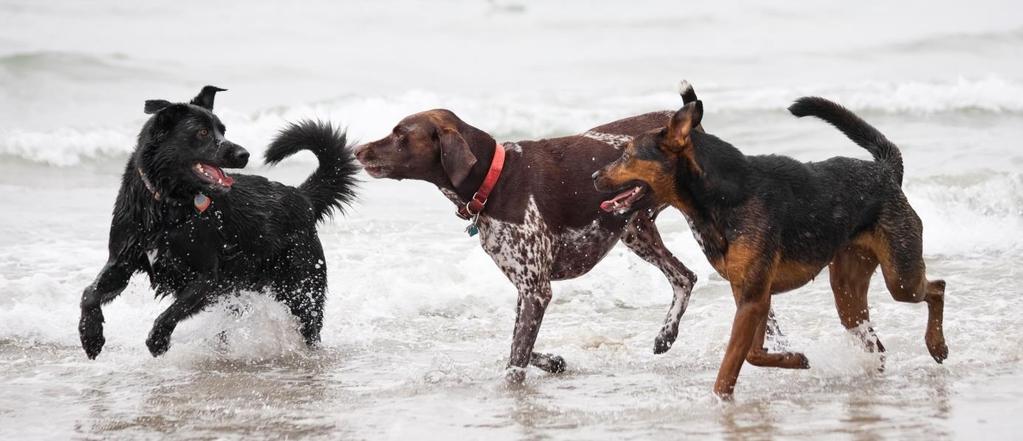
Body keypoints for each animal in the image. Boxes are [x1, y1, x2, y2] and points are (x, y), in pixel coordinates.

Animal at [76, 85, 356, 360]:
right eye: (202, 132)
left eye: (223, 130)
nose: (244, 154)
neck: (166, 205)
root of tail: (302, 197)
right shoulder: (121, 262)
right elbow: (89, 293)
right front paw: (91, 336)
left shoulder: (207, 279)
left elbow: (172, 311)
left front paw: (158, 340)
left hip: (302, 290)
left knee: (310, 326)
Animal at [351, 108, 712, 380]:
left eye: (400, 134)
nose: (356, 150)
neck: (494, 179)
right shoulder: (526, 290)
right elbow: (517, 346)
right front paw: (551, 360)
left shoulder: (536, 289)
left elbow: (515, 361)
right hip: (635, 230)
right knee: (684, 277)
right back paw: (666, 336)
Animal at [597, 81, 945, 397]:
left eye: (627, 155)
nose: (594, 176)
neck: (720, 195)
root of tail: (887, 171)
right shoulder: (752, 294)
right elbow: (753, 352)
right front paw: (795, 359)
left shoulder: (753, 297)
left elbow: (732, 363)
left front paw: (723, 399)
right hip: (848, 291)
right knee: (875, 341)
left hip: (900, 277)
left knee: (936, 288)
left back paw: (936, 345)